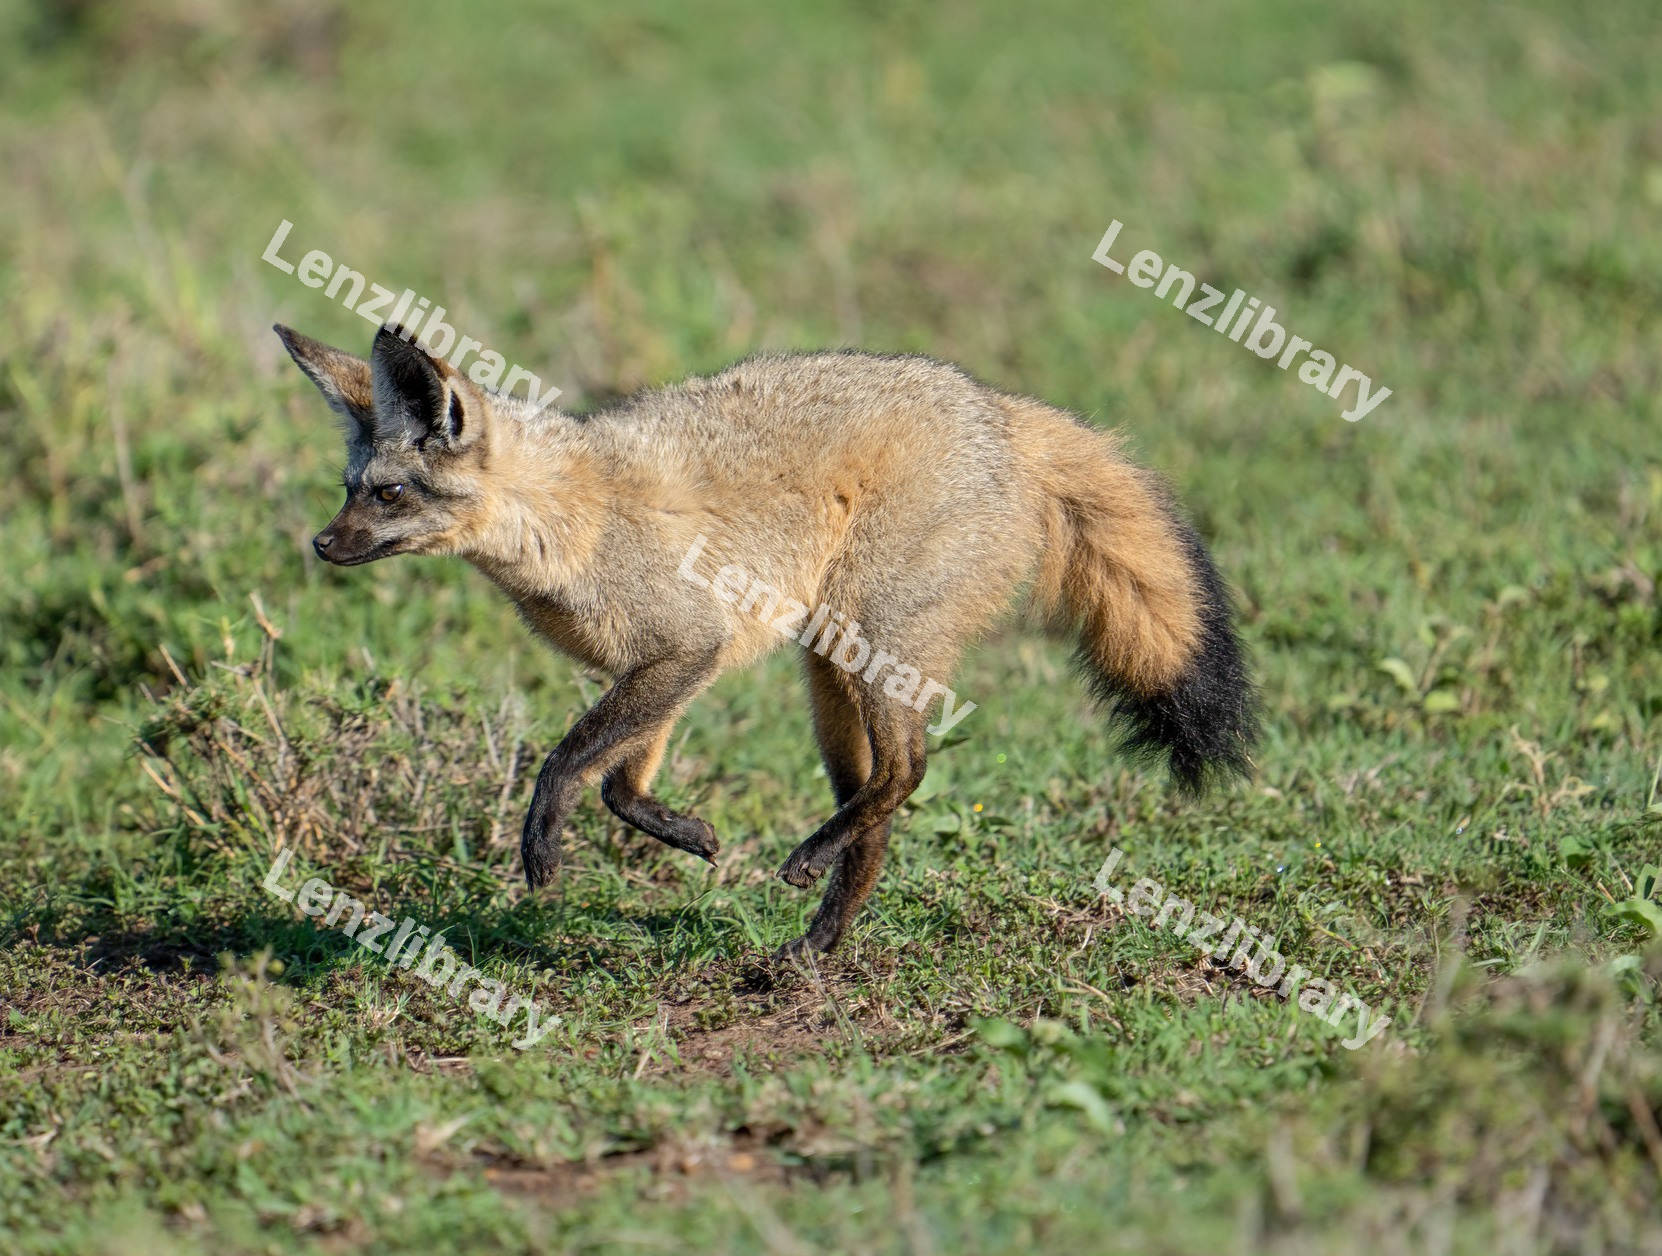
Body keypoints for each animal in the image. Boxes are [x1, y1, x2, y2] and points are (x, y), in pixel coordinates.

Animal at [274, 322, 1257, 957]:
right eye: (351, 489)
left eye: (390, 495)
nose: (319, 545)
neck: (572, 521)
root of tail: (999, 412)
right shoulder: (667, 664)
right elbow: (621, 783)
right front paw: (687, 834)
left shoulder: (686, 649)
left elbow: (569, 762)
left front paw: (541, 842)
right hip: (827, 668)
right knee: (880, 808)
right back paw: (819, 938)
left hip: (869, 640)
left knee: (907, 773)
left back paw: (809, 867)